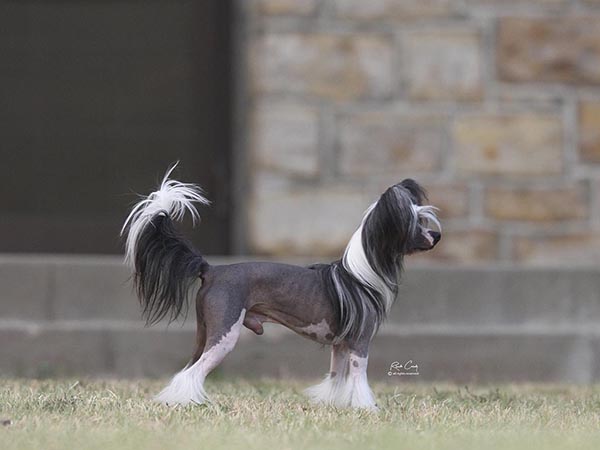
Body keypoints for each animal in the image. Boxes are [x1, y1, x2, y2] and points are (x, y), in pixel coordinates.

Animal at [122, 166, 440, 412]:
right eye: (415, 223)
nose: (436, 235)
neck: (359, 274)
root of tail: (211, 269)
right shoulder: (360, 343)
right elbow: (359, 378)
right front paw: (367, 408)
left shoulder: (340, 345)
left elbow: (336, 378)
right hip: (224, 333)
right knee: (193, 372)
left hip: (204, 331)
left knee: (187, 369)